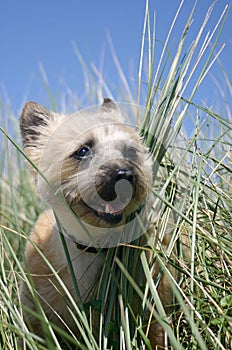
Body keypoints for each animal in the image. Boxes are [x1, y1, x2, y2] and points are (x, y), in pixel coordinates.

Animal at [20, 98, 177, 348]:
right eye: (83, 151)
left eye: (130, 152)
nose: (124, 174)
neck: (93, 246)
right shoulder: (37, 322)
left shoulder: (154, 313)